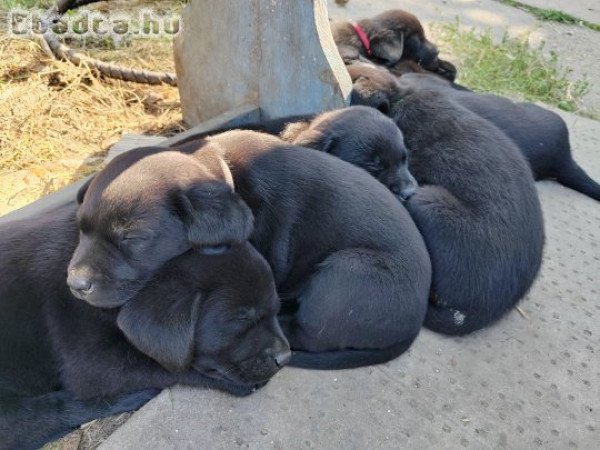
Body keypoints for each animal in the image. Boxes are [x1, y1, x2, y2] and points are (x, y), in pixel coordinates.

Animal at [74, 133, 432, 370]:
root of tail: (417, 322)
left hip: (346, 273)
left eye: (133, 237)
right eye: (81, 228)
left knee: (308, 333)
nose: (75, 284)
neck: (222, 170)